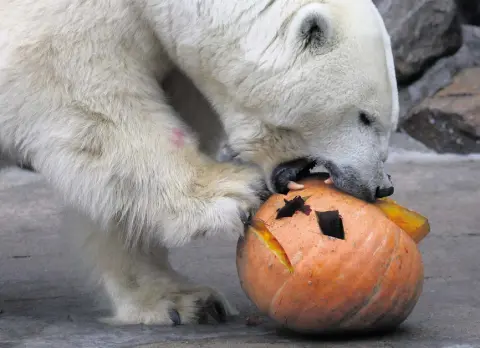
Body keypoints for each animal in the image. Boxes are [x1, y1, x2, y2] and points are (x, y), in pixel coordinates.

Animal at [0, 0, 398, 326]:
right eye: (365, 117)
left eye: (389, 121)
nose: (380, 185)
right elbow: (89, 97)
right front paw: (231, 194)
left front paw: (183, 301)